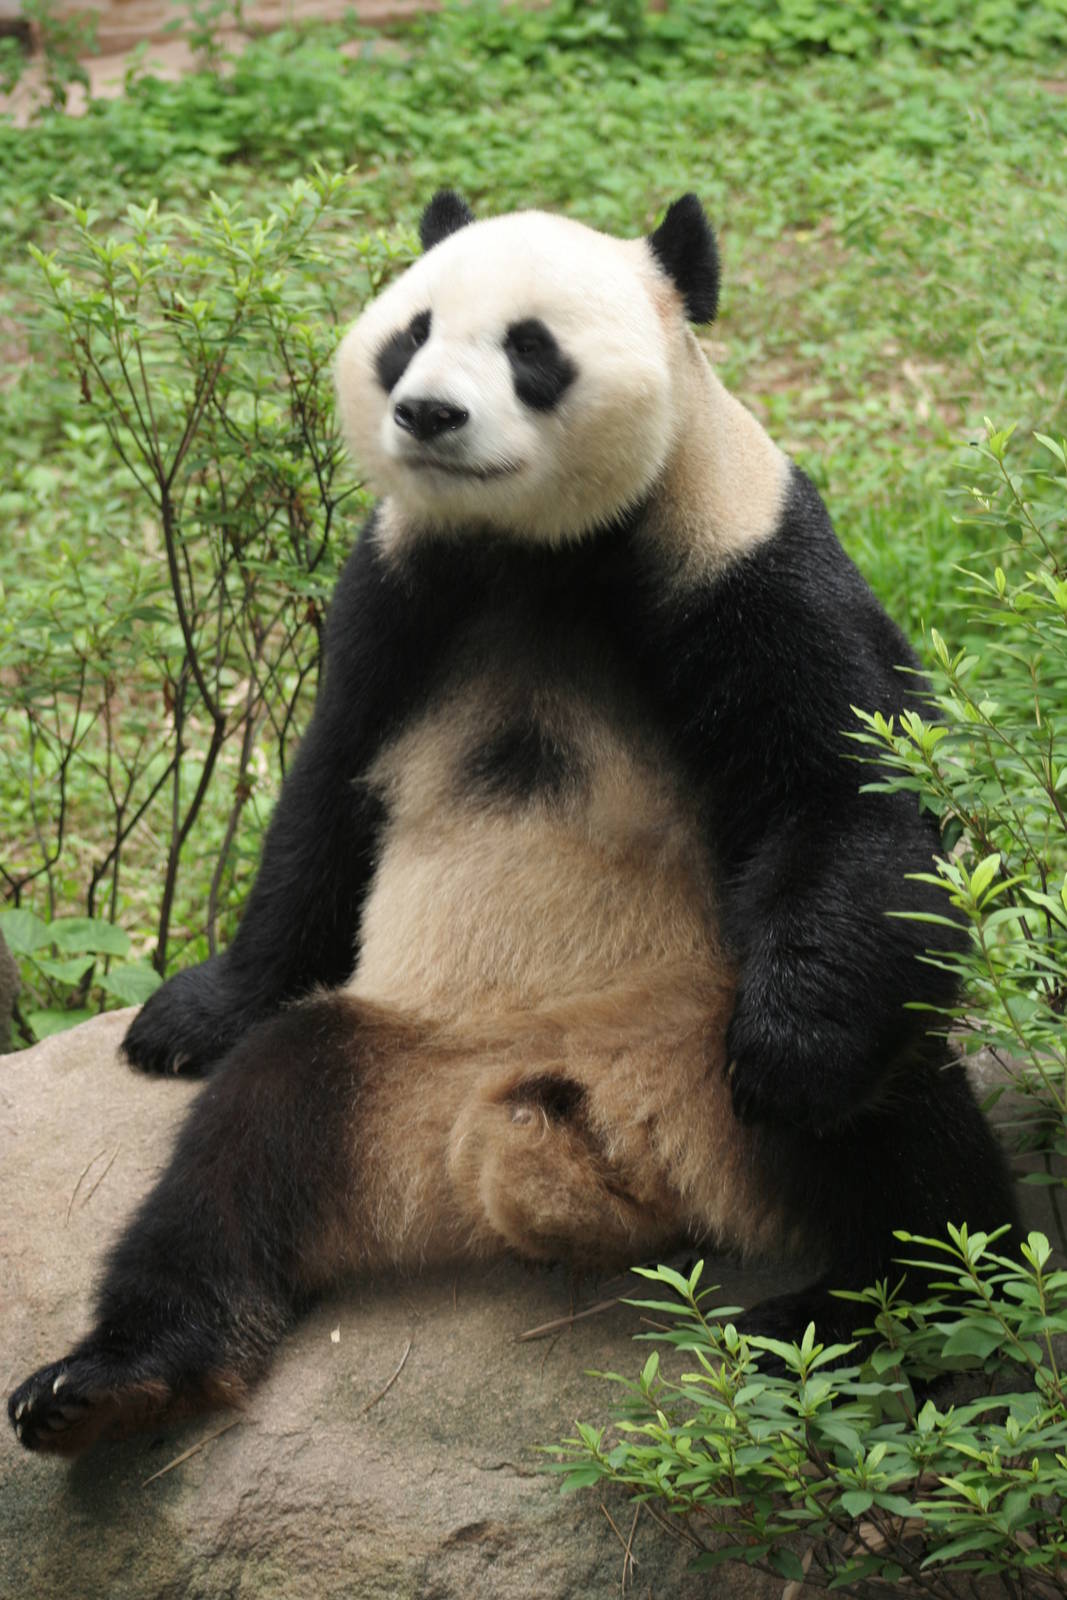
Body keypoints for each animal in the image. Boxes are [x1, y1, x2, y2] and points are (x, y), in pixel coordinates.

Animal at [9, 191, 1017, 1455]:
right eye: (409, 334)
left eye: (529, 349)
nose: (426, 412)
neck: (534, 547)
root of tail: (544, 1152)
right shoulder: (397, 582)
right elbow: (323, 801)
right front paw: (190, 1013)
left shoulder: (737, 551)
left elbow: (849, 789)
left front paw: (790, 1057)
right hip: (377, 1066)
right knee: (239, 1145)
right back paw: (111, 1381)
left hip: (710, 1047)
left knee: (911, 1133)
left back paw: (875, 1315)